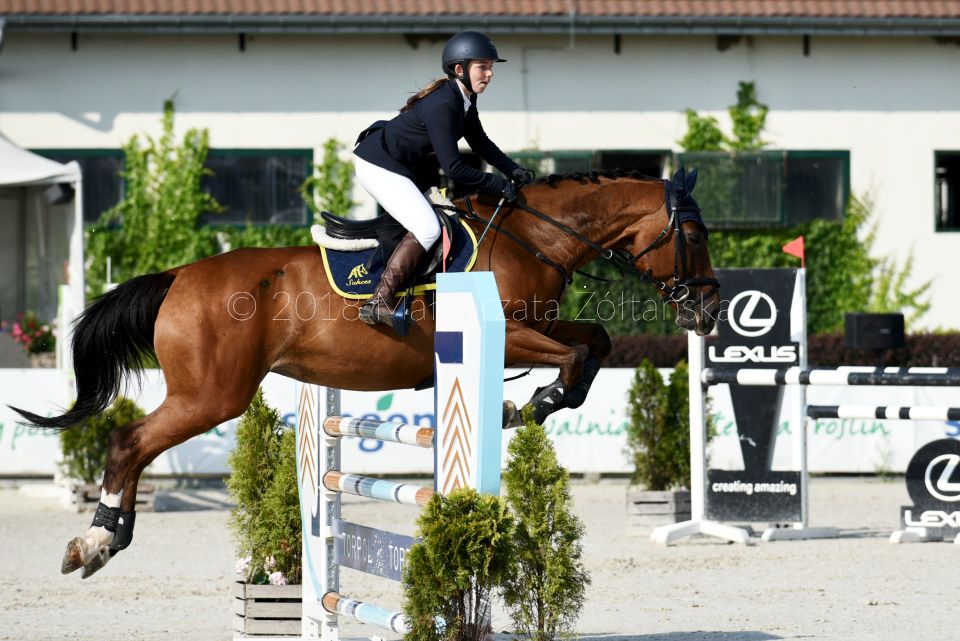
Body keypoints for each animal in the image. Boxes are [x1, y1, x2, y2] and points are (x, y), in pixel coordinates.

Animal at [12, 167, 719, 579]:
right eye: (696, 236)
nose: (710, 311)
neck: (529, 237)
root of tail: (180, 275)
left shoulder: (537, 327)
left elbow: (594, 341)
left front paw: (539, 400)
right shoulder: (512, 334)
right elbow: (574, 357)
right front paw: (534, 404)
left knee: (131, 445)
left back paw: (105, 539)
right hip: (211, 396)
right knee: (129, 442)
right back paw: (97, 542)